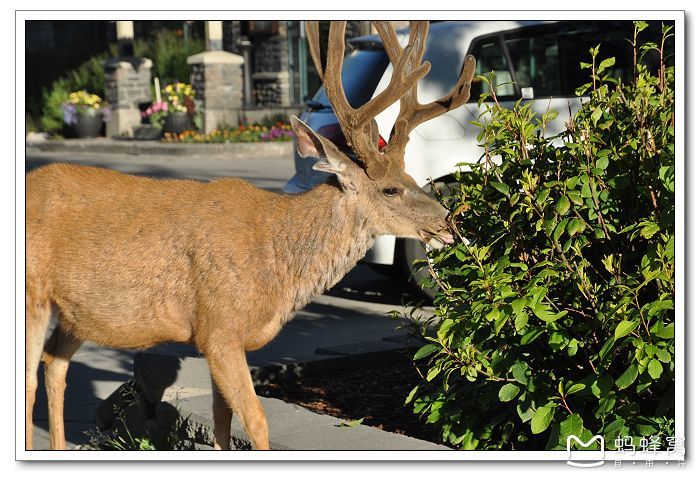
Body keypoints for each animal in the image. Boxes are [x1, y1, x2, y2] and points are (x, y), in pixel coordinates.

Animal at [26, 21, 476, 450]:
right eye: (391, 189)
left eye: (413, 177)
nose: (450, 223)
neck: (275, 256)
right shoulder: (219, 329)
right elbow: (256, 422)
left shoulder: (223, 340)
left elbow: (222, 420)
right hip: (33, 293)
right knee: (30, 377)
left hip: (74, 314)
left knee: (55, 363)